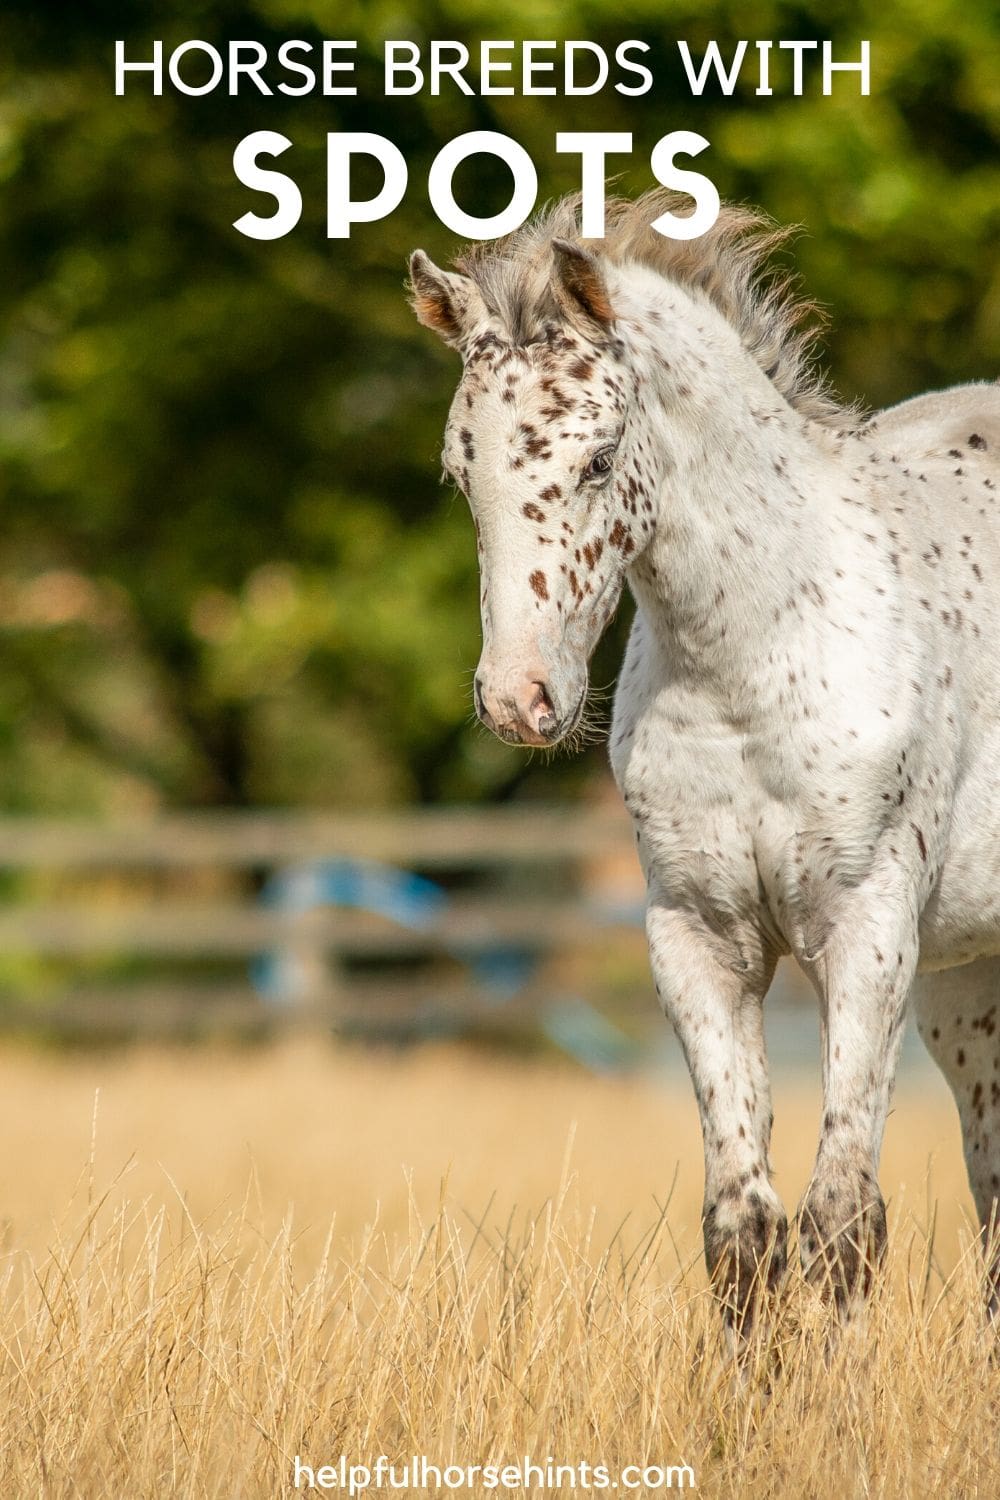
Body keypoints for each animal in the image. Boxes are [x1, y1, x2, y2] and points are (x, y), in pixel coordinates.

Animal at [407, 191, 1000, 1336]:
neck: (754, 656)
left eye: (597, 462)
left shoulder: (866, 932)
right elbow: (743, 1231)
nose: (518, 700)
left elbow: (842, 1223)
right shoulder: (697, 940)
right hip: (969, 984)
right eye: (461, 473)